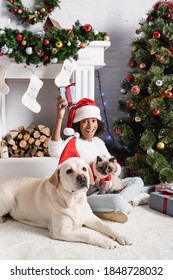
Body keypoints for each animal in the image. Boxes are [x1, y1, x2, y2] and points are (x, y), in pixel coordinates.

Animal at [0, 158, 130, 249]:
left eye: (84, 169)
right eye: (69, 171)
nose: (83, 177)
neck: (75, 201)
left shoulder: (91, 218)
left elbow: (107, 226)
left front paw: (122, 236)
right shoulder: (61, 232)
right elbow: (87, 235)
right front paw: (106, 242)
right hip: (8, 199)